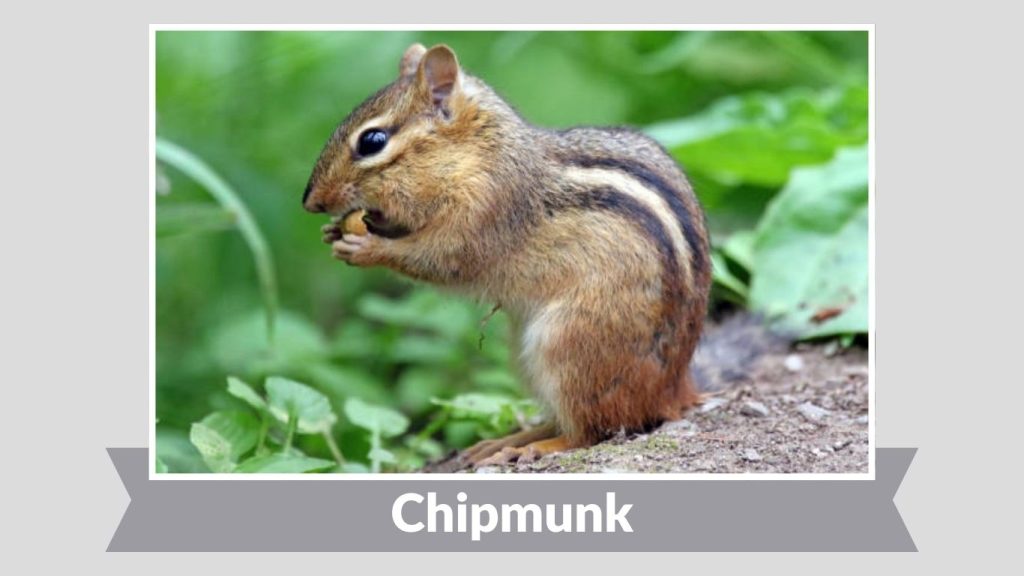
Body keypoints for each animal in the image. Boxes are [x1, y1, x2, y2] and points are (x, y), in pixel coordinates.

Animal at [303, 44, 712, 467]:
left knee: (589, 431)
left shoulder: (482, 217)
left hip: (568, 346)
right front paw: (334, 230)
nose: (310, 202)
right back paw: (504, 440)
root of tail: (672, 392)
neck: (478, 153)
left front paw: (366, 248)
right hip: (524, 353)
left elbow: (437, 260)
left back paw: (531, 447)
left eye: (372, 141)